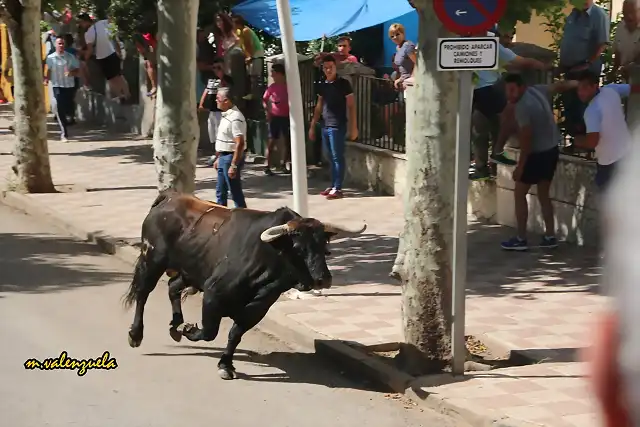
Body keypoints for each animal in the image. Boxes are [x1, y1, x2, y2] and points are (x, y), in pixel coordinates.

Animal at [122, 192, 362, 380]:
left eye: (324, 247)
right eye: (299, 247)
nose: (323, 279)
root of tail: (170, 197)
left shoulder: (257, 308)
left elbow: (234, 334)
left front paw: (225, 364)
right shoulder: (213, 293)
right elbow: (209, 331)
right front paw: (190, 330)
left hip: (190, 272)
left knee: (172, 286)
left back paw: (175, 324)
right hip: (152, 262)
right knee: (143, 293)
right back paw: (136, 334)